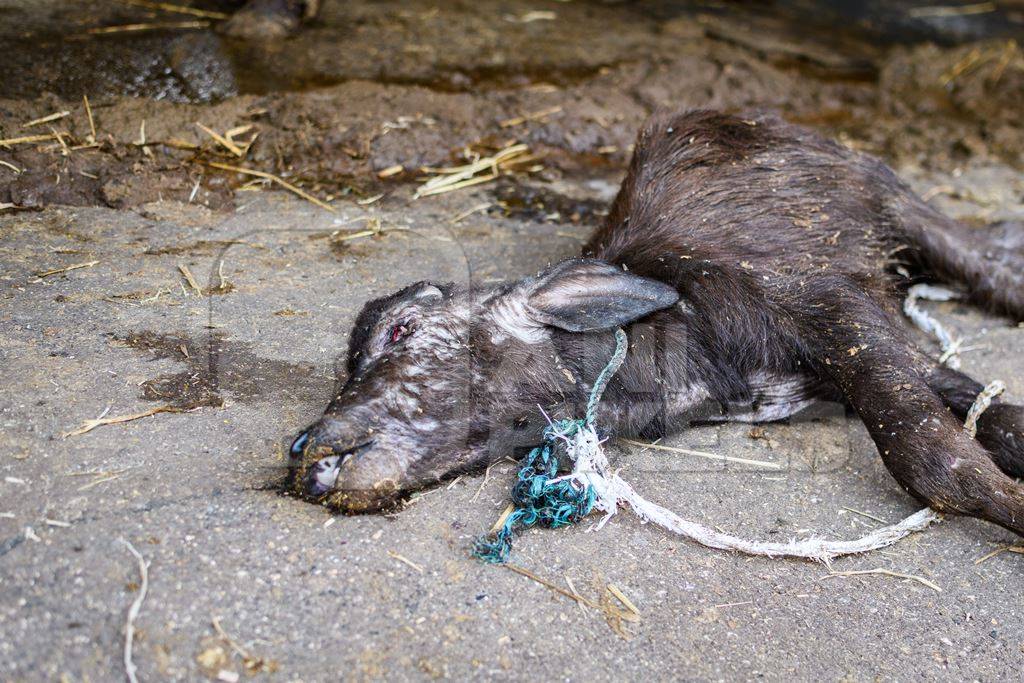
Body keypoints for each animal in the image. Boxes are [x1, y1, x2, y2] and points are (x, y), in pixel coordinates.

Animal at [288, 109, 1024, 536]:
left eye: (402, 330)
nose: (304, 451)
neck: (686, 340)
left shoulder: (837, 313)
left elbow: (928, 453)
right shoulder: (874, 355)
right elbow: (992, 420)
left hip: (894, 199)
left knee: (987, 263)